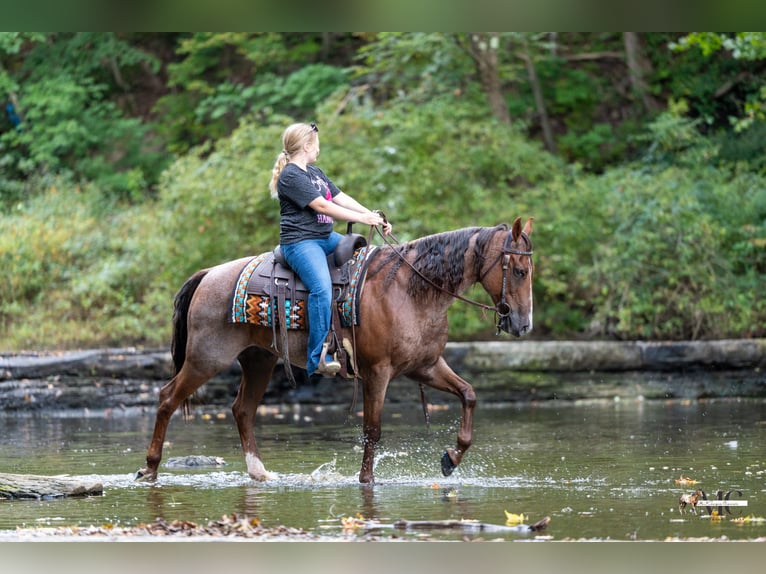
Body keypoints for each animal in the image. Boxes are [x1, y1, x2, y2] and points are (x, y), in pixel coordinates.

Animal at [136, 216, 534, 484]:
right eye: (517, 270)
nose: (523, 324)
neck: (410, 289)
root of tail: (207, 274)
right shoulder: (377, 372)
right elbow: (372, 429)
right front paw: (366, 480)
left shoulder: (426, 365)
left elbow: (469, 394)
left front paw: (451, 458)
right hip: (206, 359)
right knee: (167, 397)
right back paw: (150, 467)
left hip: (259, 360)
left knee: (242, 410)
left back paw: (259, 472)